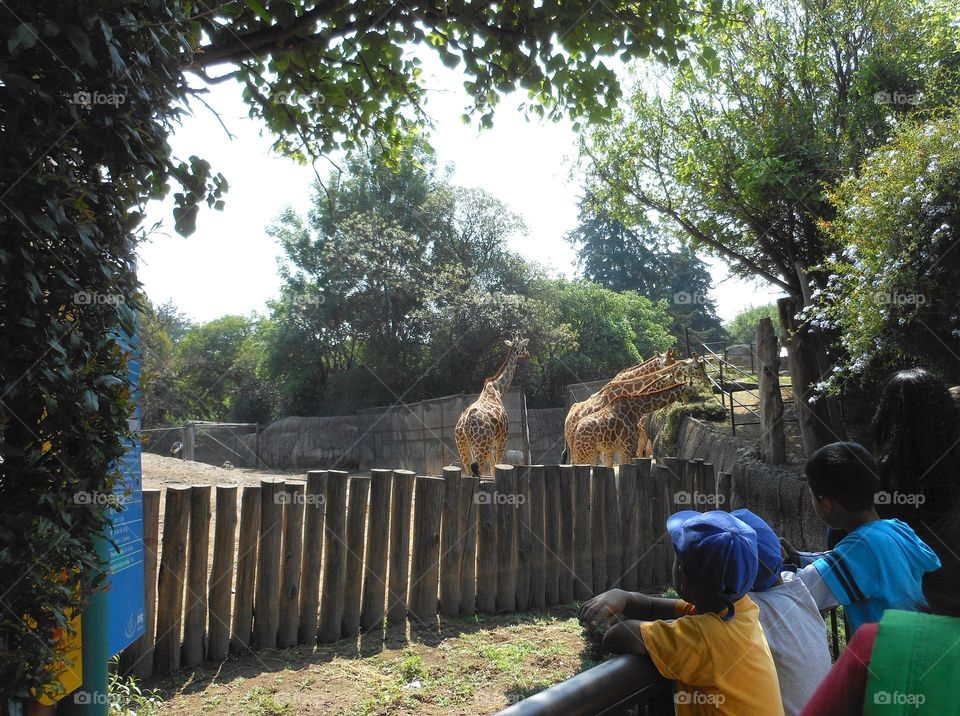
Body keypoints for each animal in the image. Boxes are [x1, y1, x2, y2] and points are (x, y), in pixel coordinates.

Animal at [454, 334, 528, 476]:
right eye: (524, 346)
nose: (528, 354)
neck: (497, 389)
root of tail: (464, 424)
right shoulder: (503, 438)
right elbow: (498, 465)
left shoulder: (490, 444)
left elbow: (493, 468)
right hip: (480, 446)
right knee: (479, 472)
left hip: (463, 446)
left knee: (469, 473)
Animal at [568, 380, 696, 464]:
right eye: (691, 390)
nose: (690, 402)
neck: (637, 409)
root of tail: (575, 429)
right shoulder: (628, 445)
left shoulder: (619, 447)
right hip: (584, 451)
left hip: (590, 451)